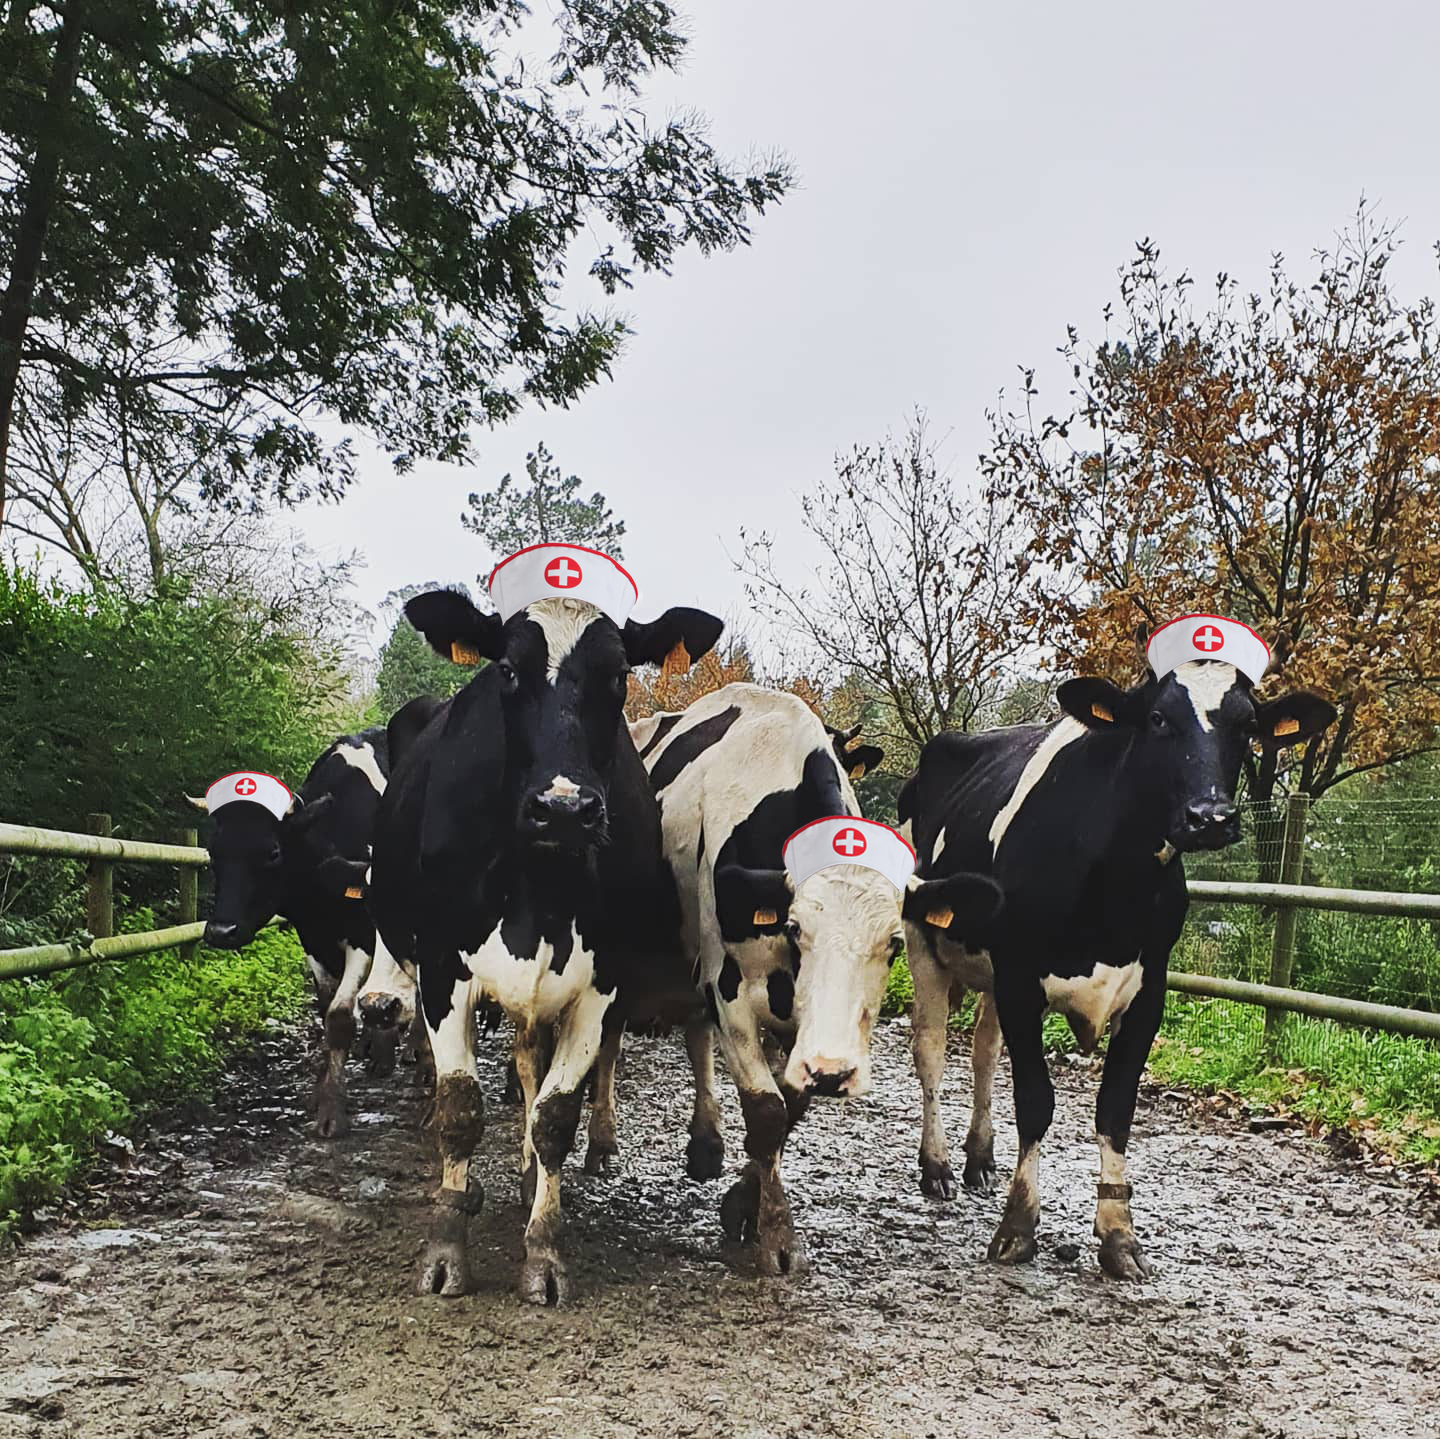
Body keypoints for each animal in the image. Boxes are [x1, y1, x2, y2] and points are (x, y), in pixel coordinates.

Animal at [191, 707, 436, 1136]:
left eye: (273, 852)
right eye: (212, 852)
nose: (221, 931)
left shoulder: (365, 934)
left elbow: (340, 1017)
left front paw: (331, 1112)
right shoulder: (312, 938)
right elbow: (326, 1010)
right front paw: (324, 1089)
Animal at [368, 581, 724, 1304]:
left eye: (618, 676)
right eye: (508, 670)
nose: (564, 808)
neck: (539, 886)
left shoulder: (599, 981)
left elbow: (557, 1114)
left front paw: (544, 1250)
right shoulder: (443, 969)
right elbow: (460, 1109)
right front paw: (446, 1248)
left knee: (531, 1068)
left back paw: (530, 1170)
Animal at [631, 683, 1002, 1276]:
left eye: (894, 943)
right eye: (793, 926)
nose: (833, 1070)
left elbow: (789, 1110)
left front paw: (743, 1203)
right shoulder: (729, 992)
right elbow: (764, 1112)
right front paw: (777, 1237)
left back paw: (707, 1143)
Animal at [898, 630, 1335, 1279]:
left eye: (1248, 726)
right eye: (1157, 719)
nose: (1211, 817)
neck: (1114, 881)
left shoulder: (1147, 994)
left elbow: (1115, 1110)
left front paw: (1118, 1236)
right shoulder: (1022, 980)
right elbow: (1036, 1101)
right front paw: (1018, 1227)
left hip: (989, 971)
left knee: (981, 1052)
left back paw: (980, 1156)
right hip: (924, 939)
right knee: (929, 1050)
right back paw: (939, 1166)